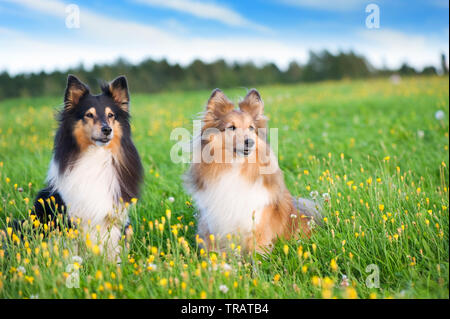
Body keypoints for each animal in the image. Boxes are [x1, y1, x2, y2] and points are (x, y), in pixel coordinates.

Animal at [31, 75, 142, 260]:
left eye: (111, 115)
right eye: (89, 114)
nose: (107, 130)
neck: (95, 155)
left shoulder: (113, 214)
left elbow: (111, 245)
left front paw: (114, 264)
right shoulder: (71, 214)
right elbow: (72, 246)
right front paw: (74, 263)